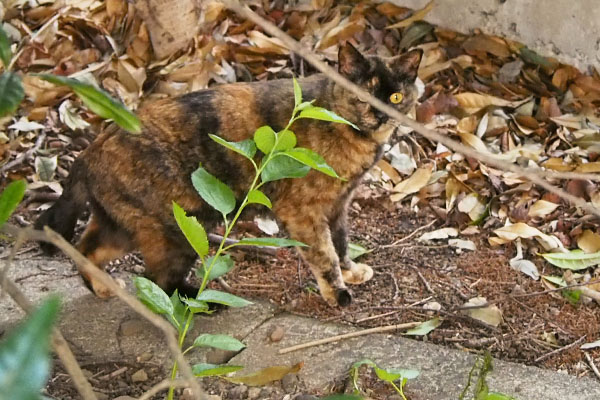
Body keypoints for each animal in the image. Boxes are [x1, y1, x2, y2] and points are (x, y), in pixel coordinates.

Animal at [35, 43, 420, 306]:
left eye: (395, 97)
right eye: (364, 95)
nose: (381, 115)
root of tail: (88, 152)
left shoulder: (338, 204)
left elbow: (340, 242)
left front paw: (351, 271)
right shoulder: (304, 212)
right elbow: (324, 254)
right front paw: (337, 291)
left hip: (125, 224)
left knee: (86, 248)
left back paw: (103, 287)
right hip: (178, 230)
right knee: (157, 280)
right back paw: (198, 301)